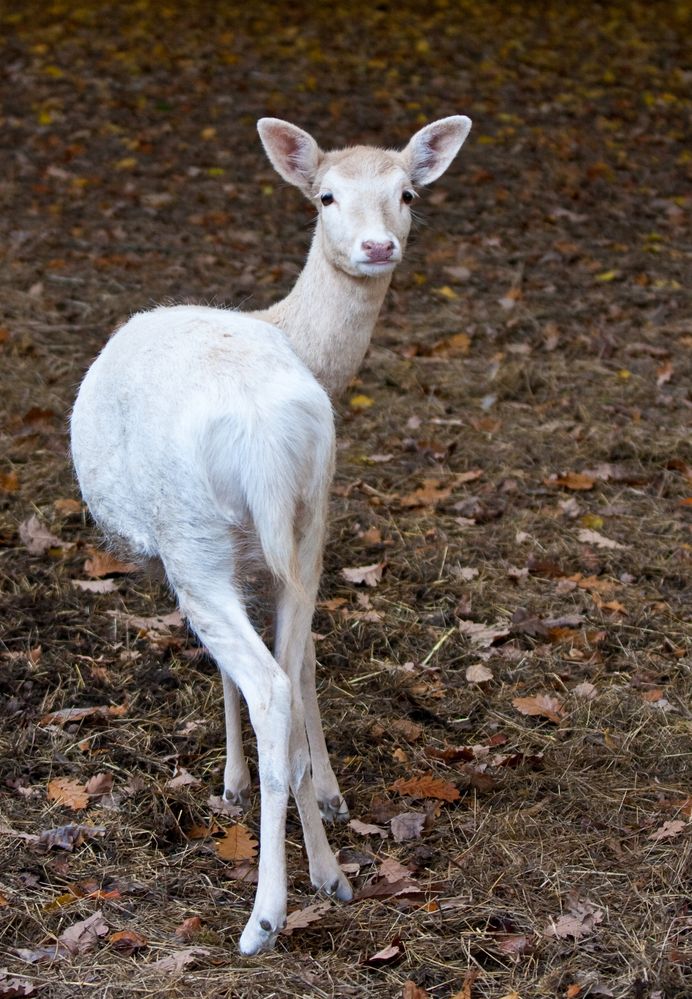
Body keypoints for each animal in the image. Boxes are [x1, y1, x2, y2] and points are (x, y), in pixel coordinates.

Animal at [70, 113, 470, 956]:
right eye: (326, 197)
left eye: (408, 193)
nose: (377, 247)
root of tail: (258, 430)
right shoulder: (286, 552)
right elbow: (310, 659)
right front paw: (330, 798)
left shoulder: (200, 558)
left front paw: (232, 783)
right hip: (306, 518)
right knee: (288, 672)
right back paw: (330, 875)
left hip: (191, 535)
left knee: (267, 685)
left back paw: (264, 915)